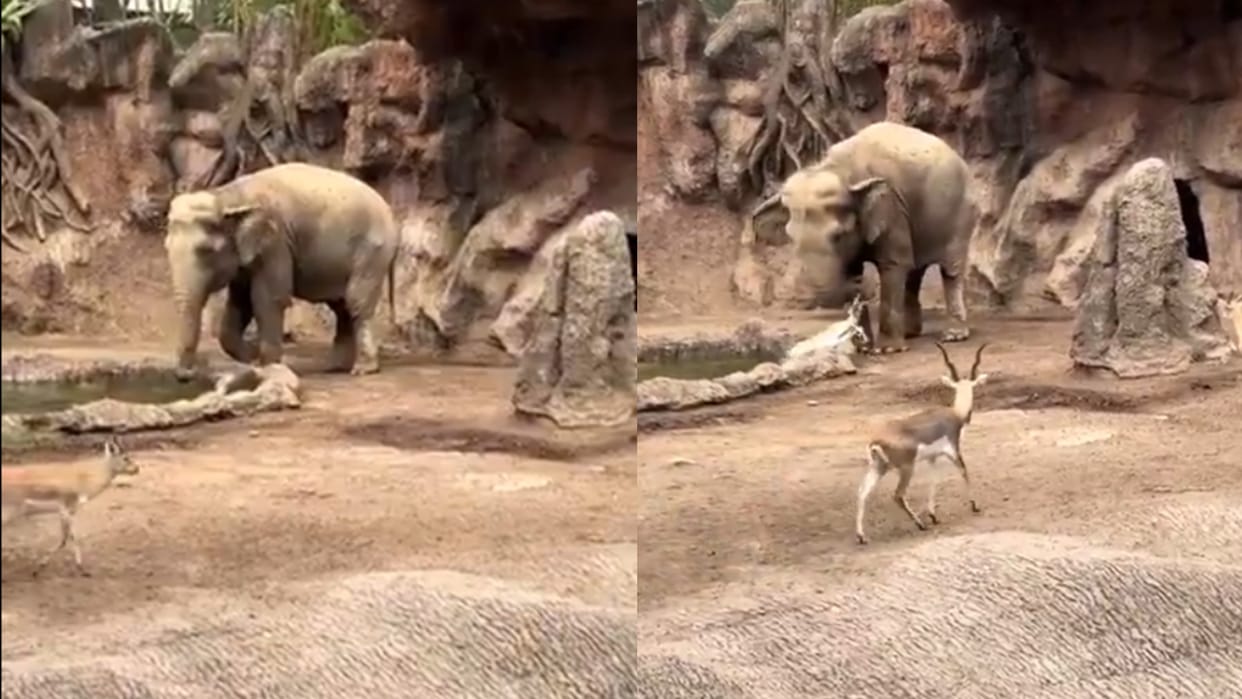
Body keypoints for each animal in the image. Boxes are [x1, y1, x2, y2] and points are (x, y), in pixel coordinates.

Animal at [1, 436, 140, 577]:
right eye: (126, 458)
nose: (136, 469)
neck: (82, 480)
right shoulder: (65, 510)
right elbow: (70, 537)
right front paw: (80, 568)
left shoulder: (70, 511)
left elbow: (68, 538)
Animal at [164, 162, 400, 377]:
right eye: (166, 247)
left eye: (206, 252)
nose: (185, 375)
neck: (228, 196)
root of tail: (390, 212)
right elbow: (241, 302)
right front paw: (253, 358)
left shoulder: (276, 241)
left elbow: (267, 298)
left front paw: (268, 366)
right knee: (341, 306)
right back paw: (335, 367)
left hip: (372, 253)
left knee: (356, 302)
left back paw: (362, 370)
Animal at [753, 121, 976, 354]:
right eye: (791, 238)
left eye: (838, 236)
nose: (861, 286)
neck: (838, 169)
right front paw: (862, 348)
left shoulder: (892, 208)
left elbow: (893, 265)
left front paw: (888, 350)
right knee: (915, 271)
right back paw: (910, 334)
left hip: (961, 213)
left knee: (950, 270)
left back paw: (953, 336)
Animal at [855, 342, 989, 545]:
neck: (955, 413)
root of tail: (876, 442)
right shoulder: (953, 450)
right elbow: (964, 472)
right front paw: (975, 505)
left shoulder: (932, 458)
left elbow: (933, 480)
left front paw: (933, 515)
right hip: (906, 469)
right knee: (898, 495)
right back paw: (920, 524)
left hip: (879, 468)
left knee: (863, 493)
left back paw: (862, 536)